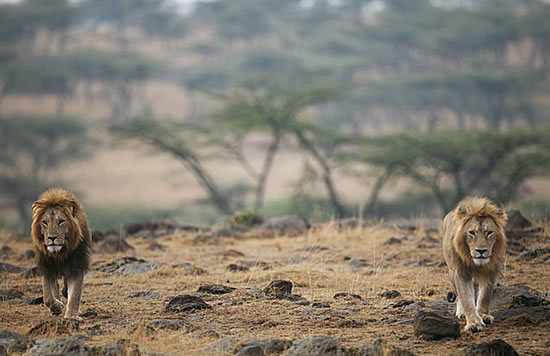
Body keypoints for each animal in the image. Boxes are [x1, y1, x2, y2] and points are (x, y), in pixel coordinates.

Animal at [31, 189, 91, 320]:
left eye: (61, 221)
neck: (59, 253)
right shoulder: (47, 266)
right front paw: (57, 307)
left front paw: (71, 316)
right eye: (44, 222)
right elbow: (47, 296)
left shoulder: (76, 265)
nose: (52, 238)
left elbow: (75, 293)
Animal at [444, 196, 508, 332]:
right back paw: (462, 312)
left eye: (489, 232)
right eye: (472, 232)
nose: (481, 251)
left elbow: (485, 295)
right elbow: (466, 298)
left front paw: (483, 315)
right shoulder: (461, 273)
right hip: (451, 272)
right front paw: (473, 323)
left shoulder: (491, 271)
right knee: (459, 295)